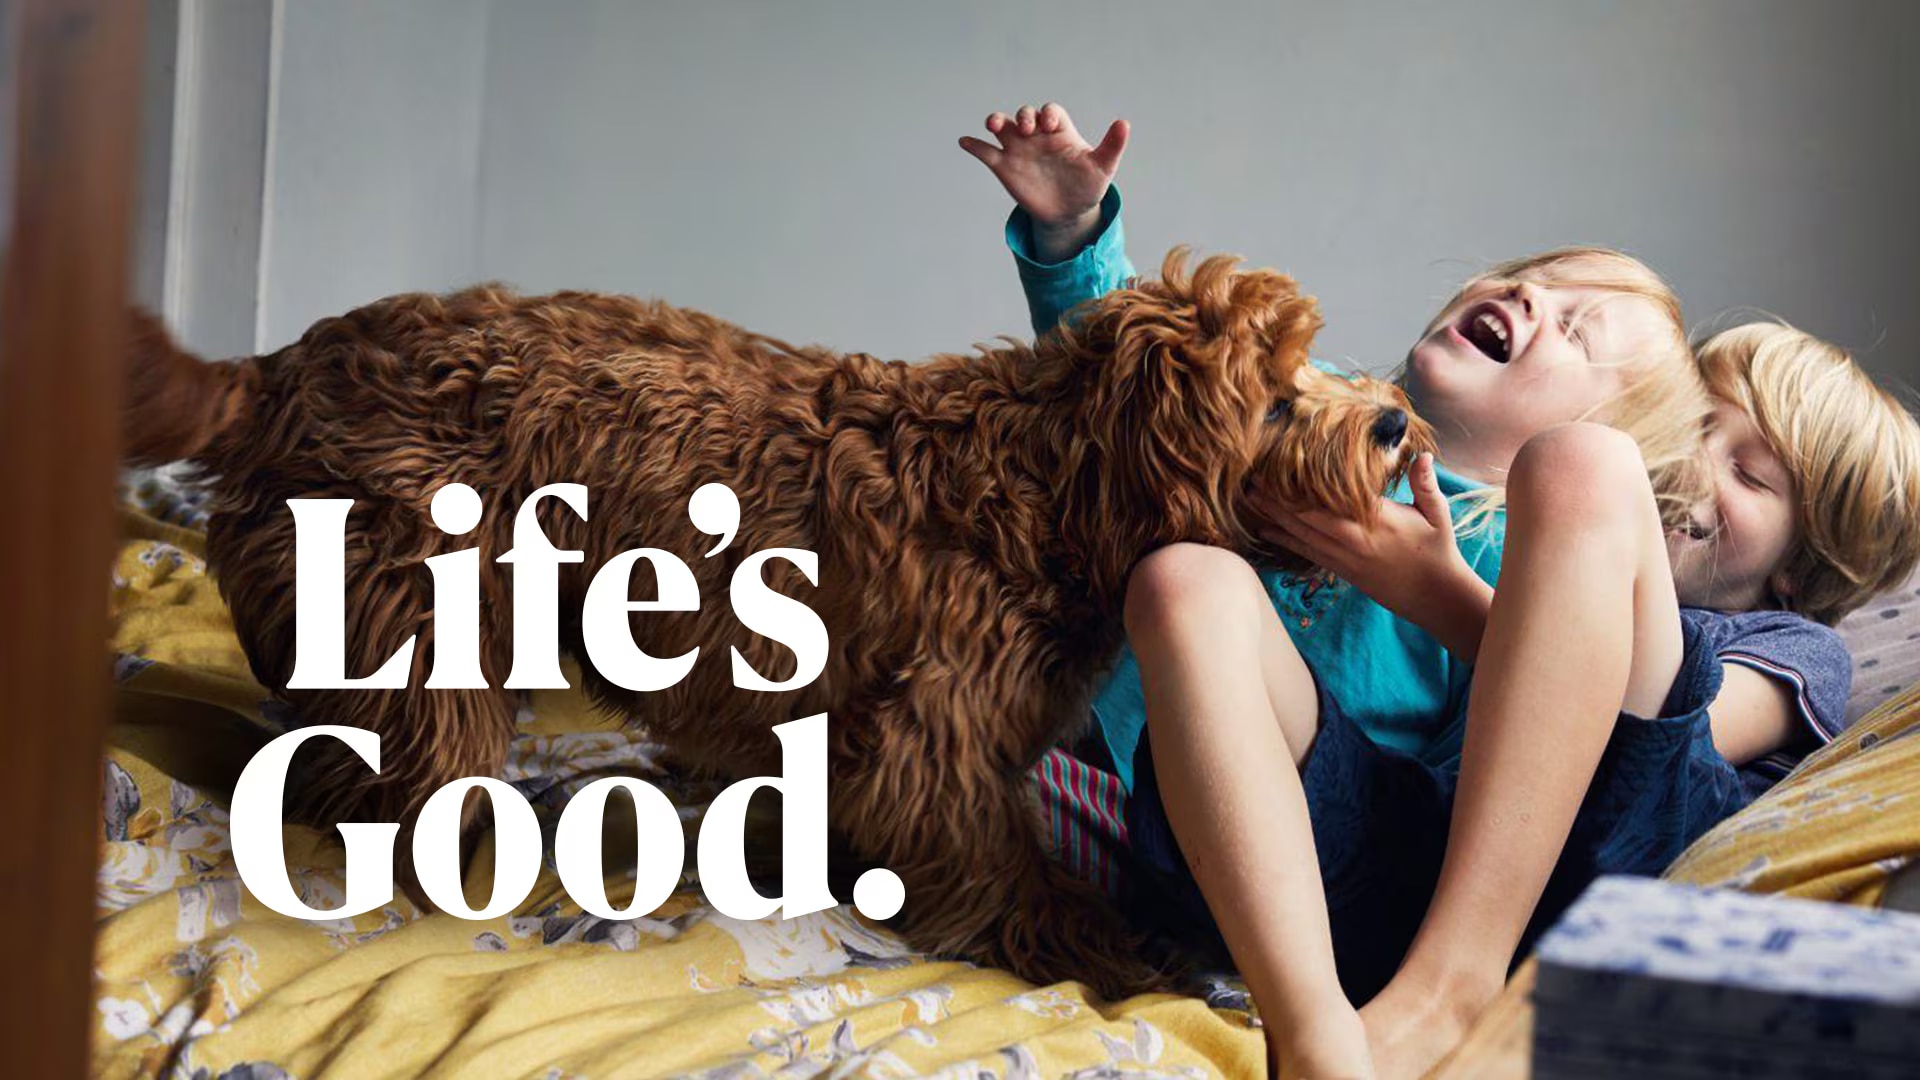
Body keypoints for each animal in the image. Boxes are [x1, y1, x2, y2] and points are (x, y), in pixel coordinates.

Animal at [123, 249, 1428, 991]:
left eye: (1313, 369)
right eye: (1272, 404)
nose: (1392, 422)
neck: (1048, 481)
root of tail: (287, 366)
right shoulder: (934, 745)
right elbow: (1007, 865)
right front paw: (1097, 945)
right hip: (417, 621)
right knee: (388, 766)